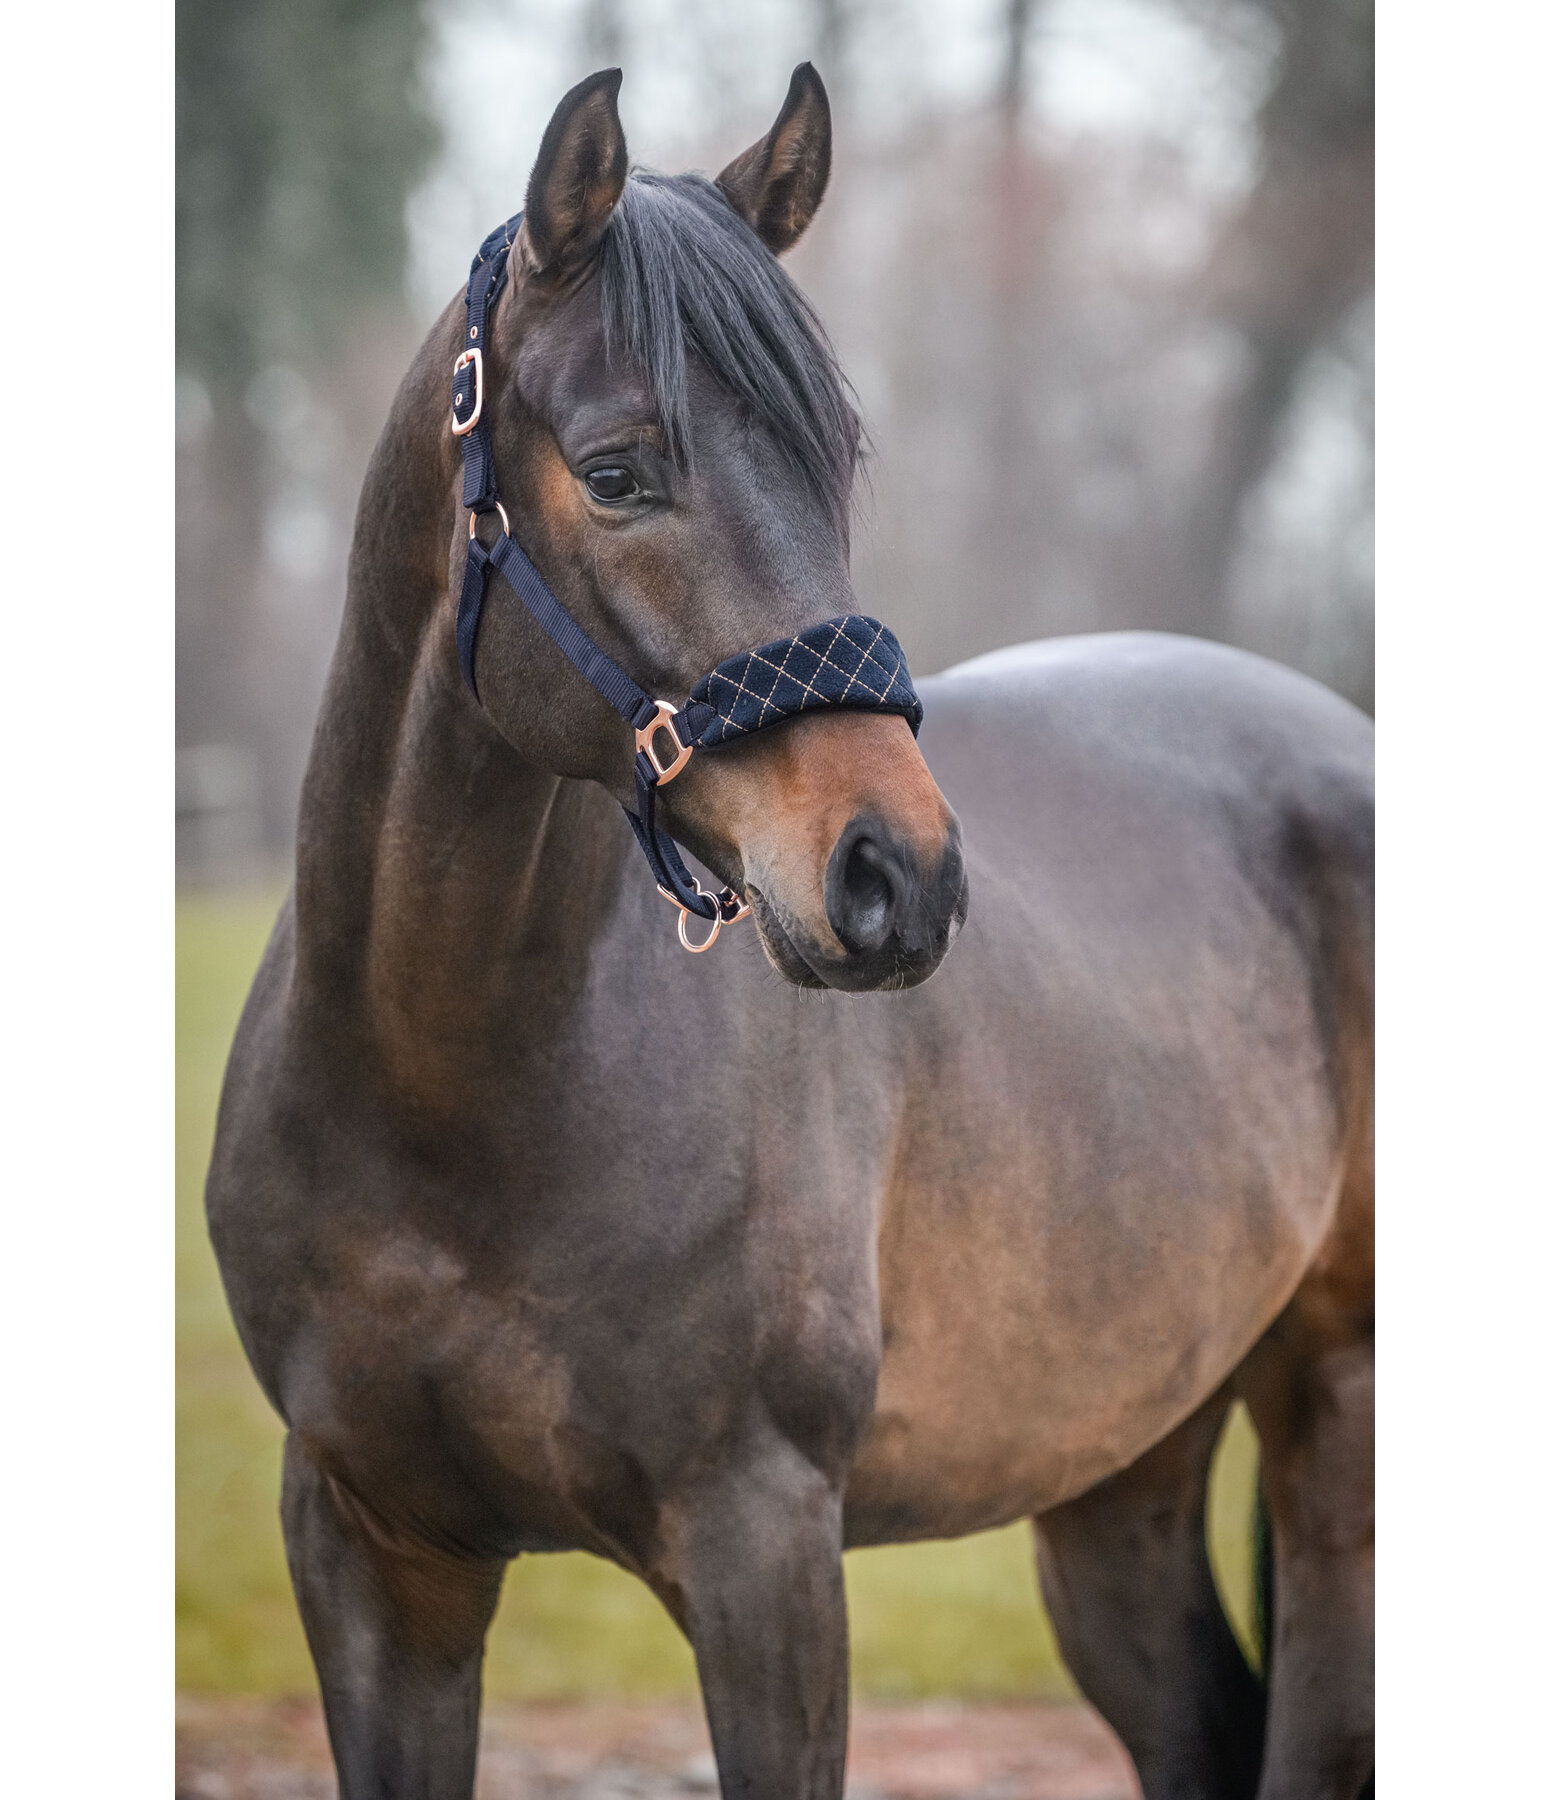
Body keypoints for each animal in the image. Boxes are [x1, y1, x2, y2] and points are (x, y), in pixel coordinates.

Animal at [206, 64, 1373, 1800]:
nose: (898, 875)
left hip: (1332, 1408)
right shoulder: (368, 1547)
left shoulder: (763, 1551)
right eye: (618, 468)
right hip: (1118, 1462)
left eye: (834, 463)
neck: (440, 1087)